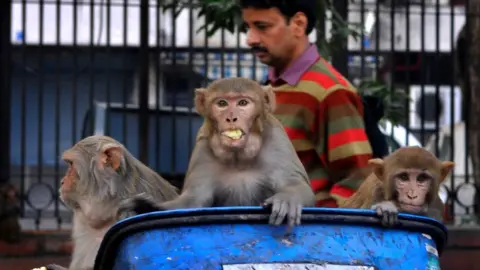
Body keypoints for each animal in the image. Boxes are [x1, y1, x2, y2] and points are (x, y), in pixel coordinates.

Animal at [117, 77, 316, 229]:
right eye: (222, 103)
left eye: (243, 103)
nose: (231, 117)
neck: (239, 159)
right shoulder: (202, 150)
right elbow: (192, 202)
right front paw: (145, 206)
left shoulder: (277, 143)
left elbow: (295, 183)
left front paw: (287, 198)